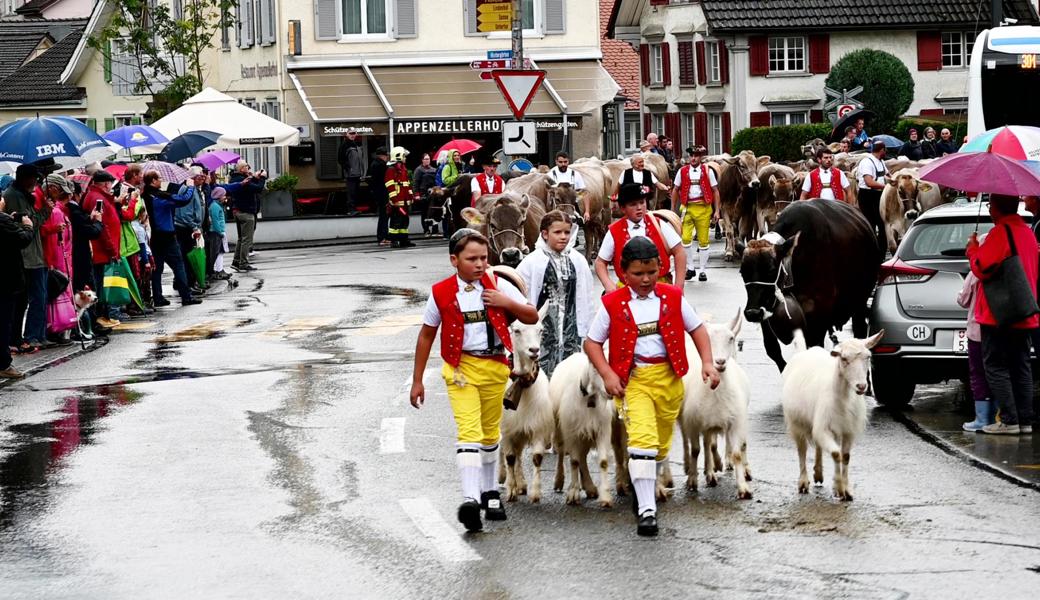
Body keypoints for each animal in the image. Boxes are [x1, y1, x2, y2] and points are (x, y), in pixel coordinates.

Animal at [499, 314, 557, 501]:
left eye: (541, 330)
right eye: (516, 330)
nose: (534, 350)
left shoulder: (537, 427)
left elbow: (536, 458)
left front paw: (535, 492)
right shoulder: (509, 430)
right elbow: (509, 457)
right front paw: (511, 490)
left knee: (518, 455)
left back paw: (522, 484)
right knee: (505, 453)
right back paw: (503, 477)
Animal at [549, 351, 619, 505]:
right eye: (596, 367)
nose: (610, 390)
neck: (589, 398)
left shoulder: (601, 430)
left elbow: (603, 462)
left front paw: (605, 497)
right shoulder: (572, 430)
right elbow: (574, 461)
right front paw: (573, 494)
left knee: (582, 457)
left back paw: (590, 487)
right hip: (560, 428)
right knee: (562, 452)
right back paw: (559, 481)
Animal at [678, 311, 752, 499]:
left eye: (731, 338)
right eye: (707, 338)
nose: (719, 362)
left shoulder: (734, 421)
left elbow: (736, 453)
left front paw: (743, 487)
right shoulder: (694, 423)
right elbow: (696, 449)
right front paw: (692, 481)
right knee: (691, 443)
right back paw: (695, 468)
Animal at [782, 330, 881, 499]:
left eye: (868, 356)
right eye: (844, 358)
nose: (861, 386)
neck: (844, 399)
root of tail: (804, 352)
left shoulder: (848, 430)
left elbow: (845, 456)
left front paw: (846, 490)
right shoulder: (823, 428)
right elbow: (836, 454)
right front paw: (839, 487)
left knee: (818, 446)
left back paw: (818, 474)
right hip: (796, 422)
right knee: (802, 450)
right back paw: (803, 482)